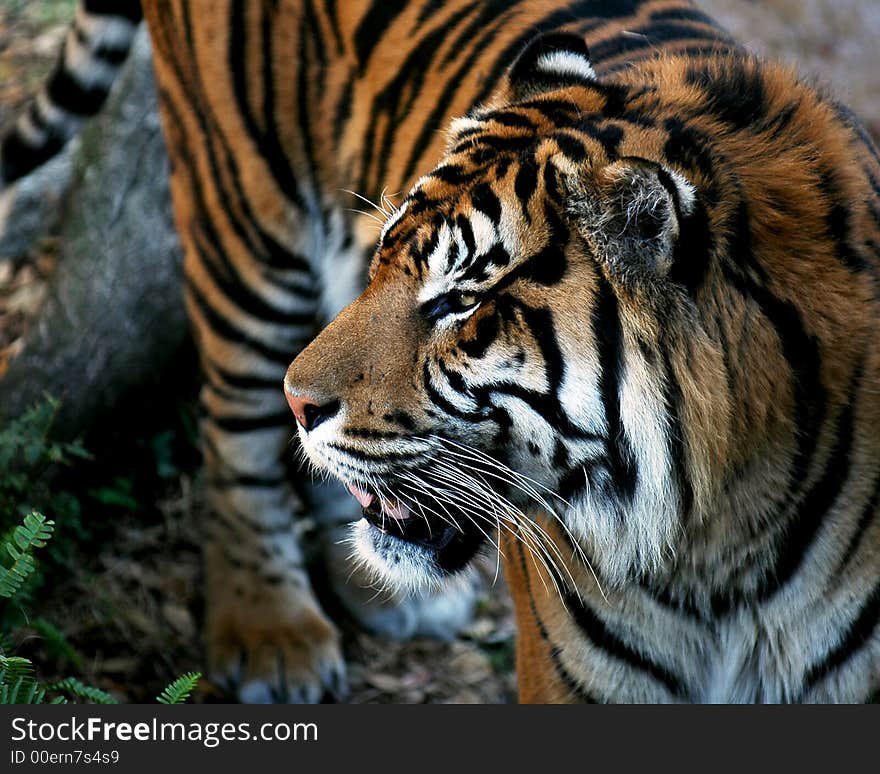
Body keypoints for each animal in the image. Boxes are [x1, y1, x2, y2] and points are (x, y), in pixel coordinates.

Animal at [1, 0, 872, 704]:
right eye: (388, 259)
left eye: (460, 301)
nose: (300, 401)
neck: (723, 542)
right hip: (242, 223)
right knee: (232, 431)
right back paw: (269, 632)